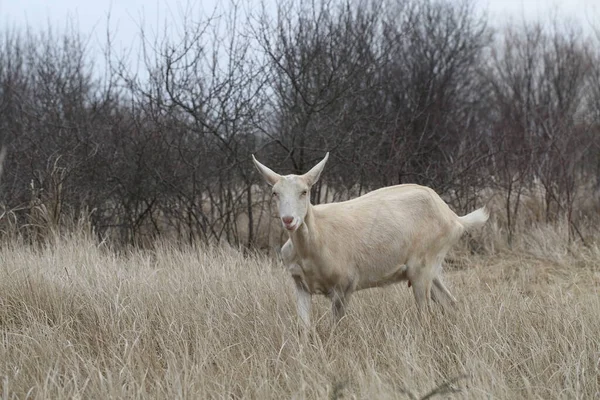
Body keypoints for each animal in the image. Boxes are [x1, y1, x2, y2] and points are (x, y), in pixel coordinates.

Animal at [251, 152, 490, 326]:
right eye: (274, 193)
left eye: (305, 191)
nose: (289, 220)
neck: (315, 242)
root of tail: (454, 218)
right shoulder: (300, 284)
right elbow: (304, 327)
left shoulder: (345, 285)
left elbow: (336, 327)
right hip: (432, 267)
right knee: (450, 302)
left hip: (422, 266)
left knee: (424, 313)